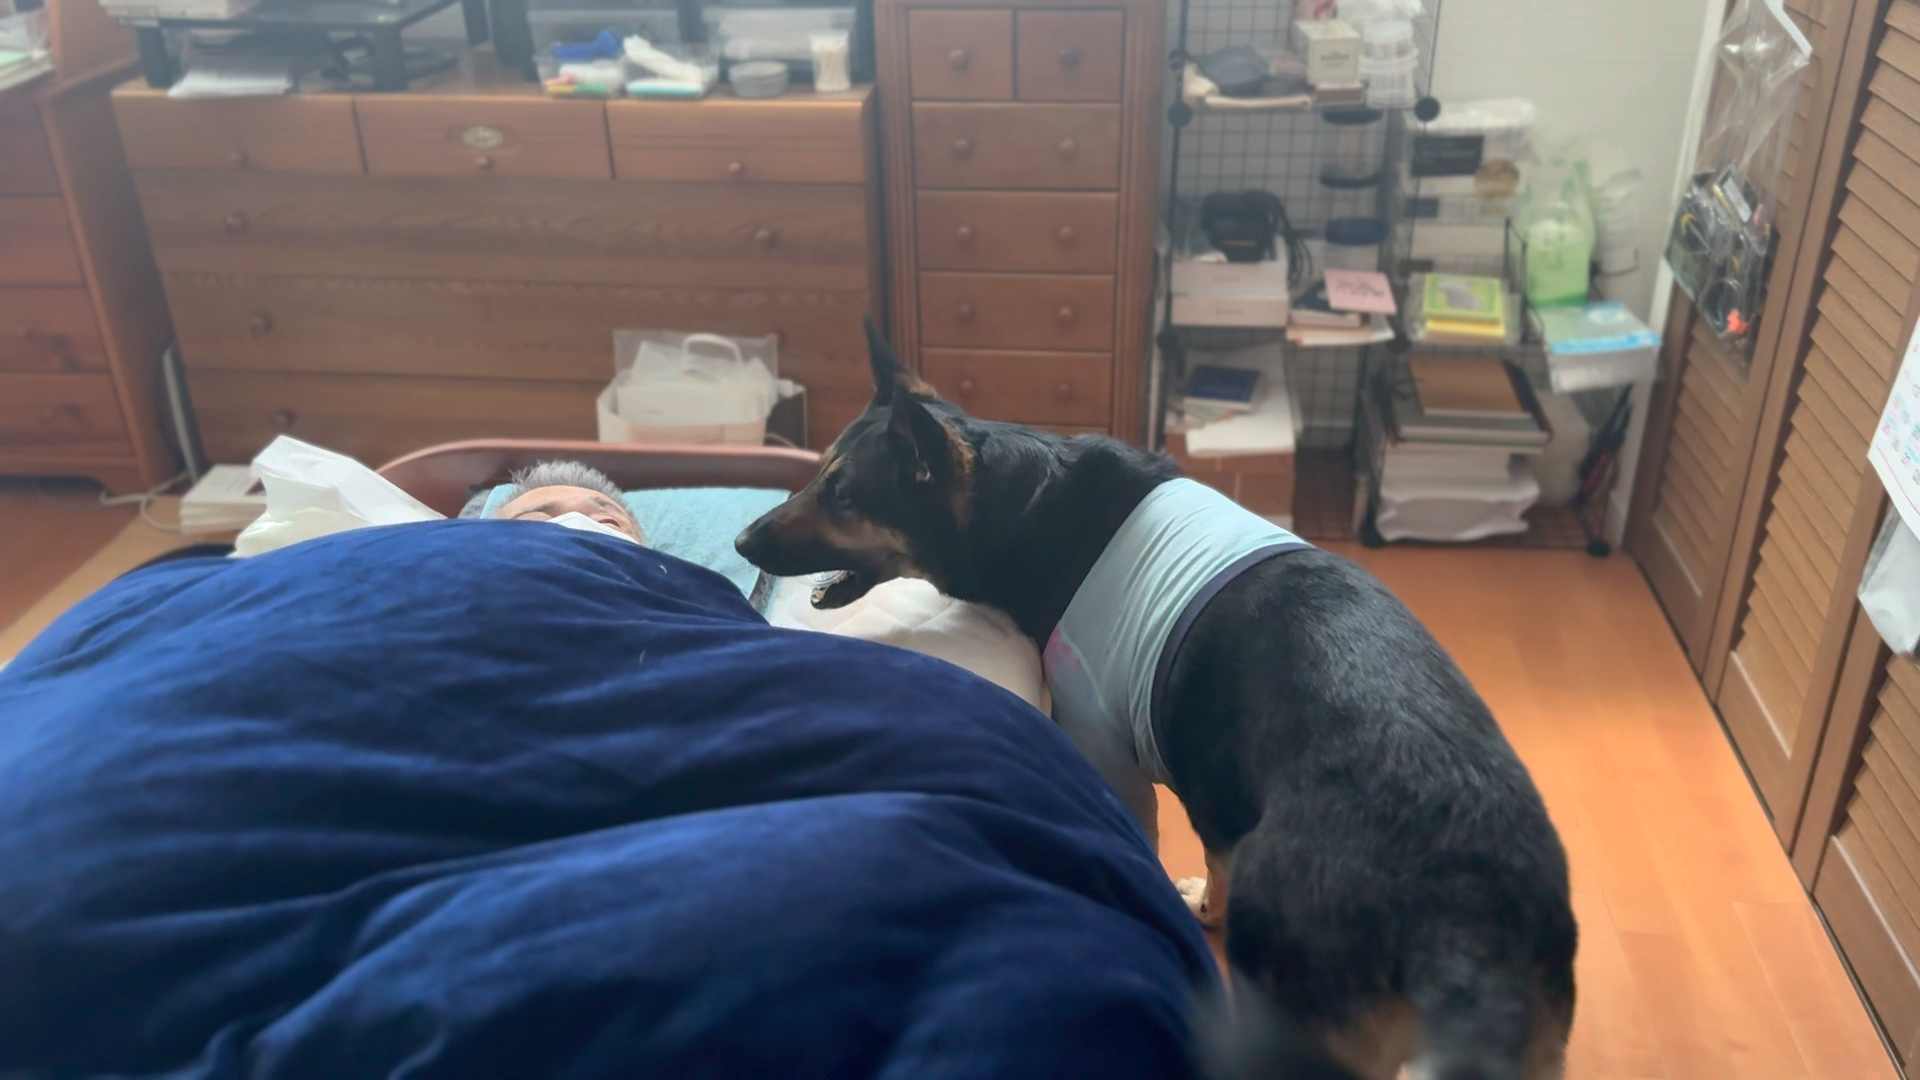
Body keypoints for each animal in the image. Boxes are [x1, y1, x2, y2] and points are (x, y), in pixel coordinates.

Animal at [736, 322, 1576, 1080]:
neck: (1024, 501)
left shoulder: (1110, 746)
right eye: (819, 474)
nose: (741, 543)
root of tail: (1461, 925)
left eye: (842, 493)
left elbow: (1171, 845)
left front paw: (1194, 904)